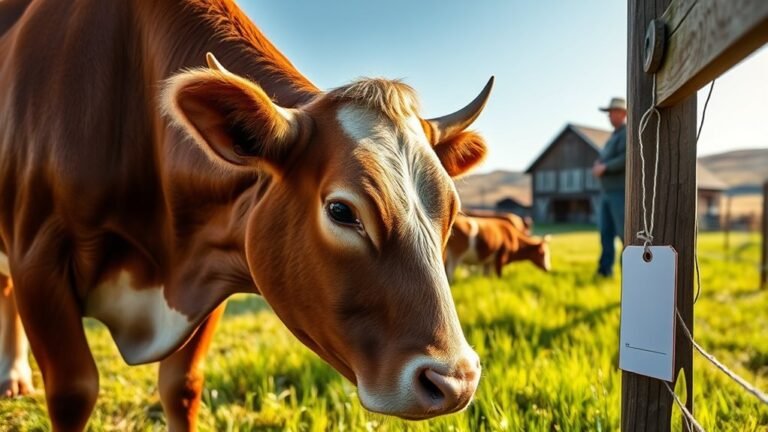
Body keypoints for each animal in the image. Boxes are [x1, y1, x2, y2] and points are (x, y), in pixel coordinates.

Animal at [0, 1, 495, 430]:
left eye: (451, 210)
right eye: (341, 210)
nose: (455, 380)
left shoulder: (211, 262)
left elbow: (182, 387)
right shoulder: (37, 260)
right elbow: (73, 392)